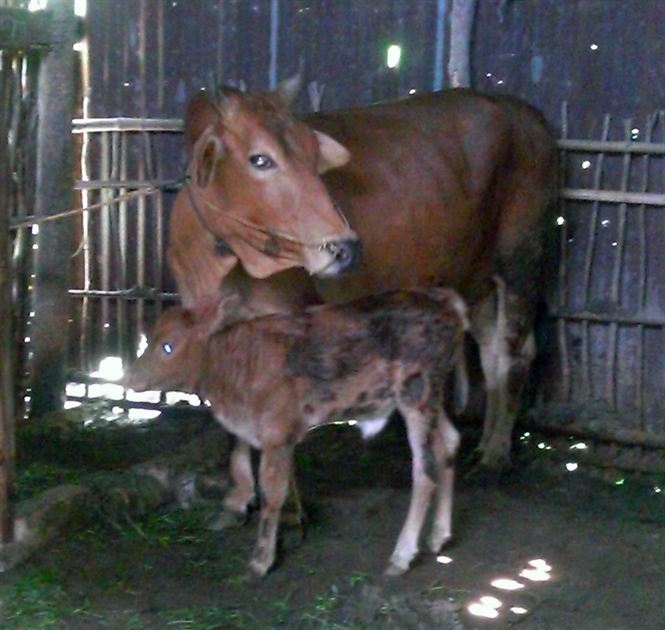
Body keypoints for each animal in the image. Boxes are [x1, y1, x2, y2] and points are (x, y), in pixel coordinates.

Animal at [124, 288, 466, 580]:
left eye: (168, 346)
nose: (128, 376)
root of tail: (443, 299)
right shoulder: (264, 430)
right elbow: (242, 463)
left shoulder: (276, 433)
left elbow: (272, 492)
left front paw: (261, 560)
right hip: (431, 398)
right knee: (449, 443)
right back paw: (439, 536)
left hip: (416, 393)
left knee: (425, 471)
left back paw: (402, 555)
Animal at [169, 74, 556, 478]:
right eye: (260, 159)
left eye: (315, 157)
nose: (345, 246)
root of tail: (519, 109)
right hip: (475, 279)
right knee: (493, 351)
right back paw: (484, 445)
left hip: (521, 254)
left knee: (514, 350)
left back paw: (496, 453)